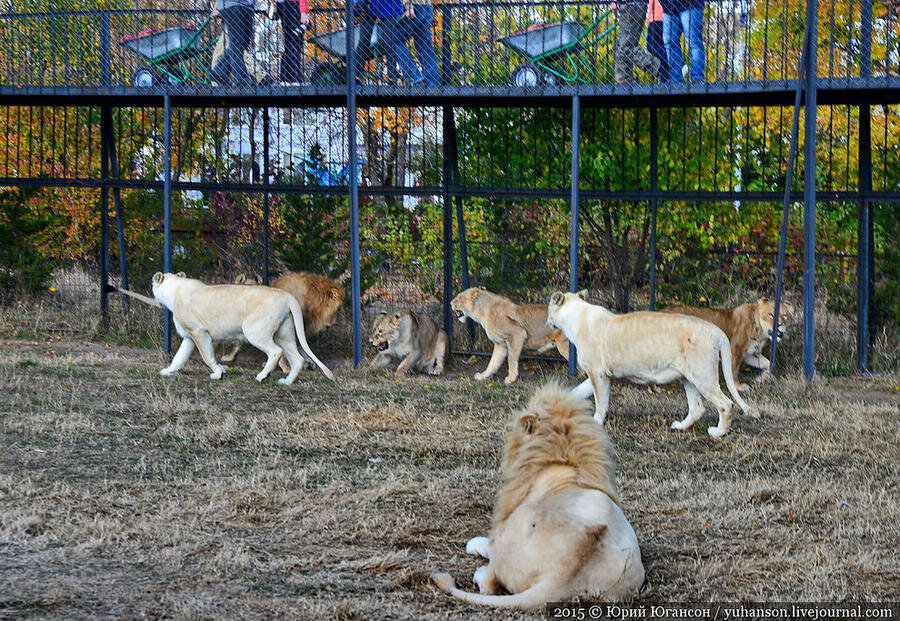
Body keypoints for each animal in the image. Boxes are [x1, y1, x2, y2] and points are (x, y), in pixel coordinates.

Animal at [153, 272, 336, 382]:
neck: (174, 291)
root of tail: (287, 295)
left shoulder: (199, 332)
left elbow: (207, 357)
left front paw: (218, 373)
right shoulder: (189, 337)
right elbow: (179, 357)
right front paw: (168, 371)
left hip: (255, 331)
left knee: (276, 352)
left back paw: (262, 376)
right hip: (284, 335)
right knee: (297, 359)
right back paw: (286, 382)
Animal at [430, 380, 648, 608]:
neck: (564, 463)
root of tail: (563, 573)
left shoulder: (501, 529)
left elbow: (484, 543)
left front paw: (475, 545)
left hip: (524, 514)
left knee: (489, 582)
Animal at [552, 290, 756, 436]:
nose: (549, 322)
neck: (576, 315)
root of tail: (717, 332)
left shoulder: (598, 373)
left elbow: (601, 402)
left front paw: (596, 422)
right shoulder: (599, 374)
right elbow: (578, 391)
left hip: (702, 376)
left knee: (726, 404)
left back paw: (718, 432)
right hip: (688, 378)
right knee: (697, 408)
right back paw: (680, 426)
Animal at [656, 298, 800, 390]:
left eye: (785, 316)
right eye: (771, 315)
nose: (780, 325)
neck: (760, 330)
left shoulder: (750, 354)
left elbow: (769, 364)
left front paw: (761, 378)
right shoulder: (735, 349)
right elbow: (734, 370)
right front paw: (738, 387)